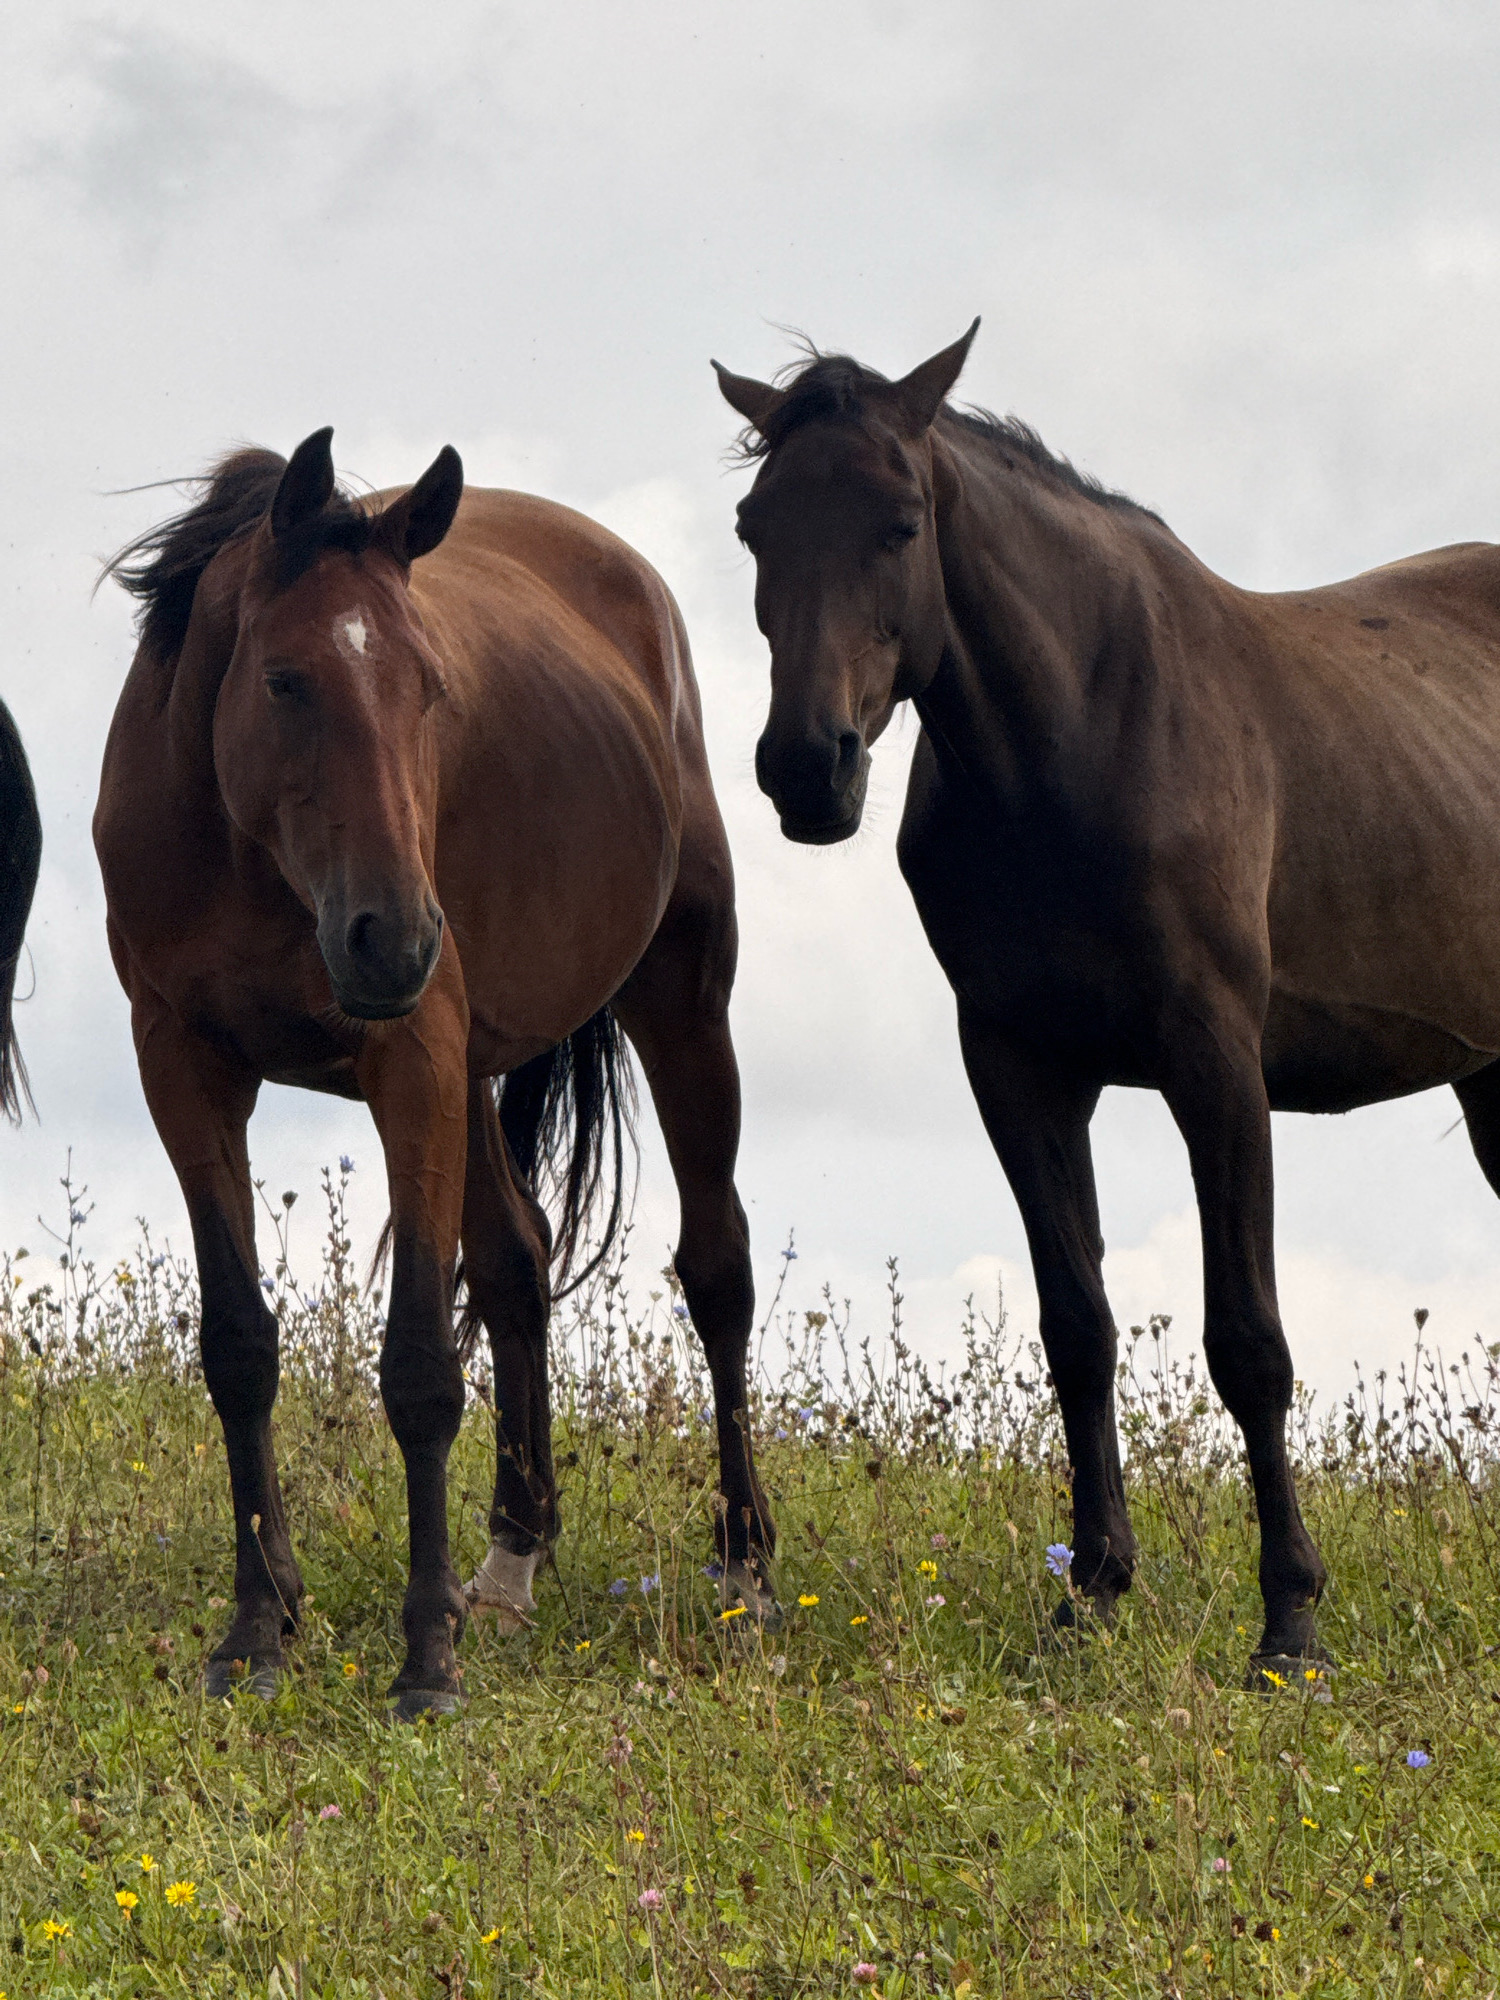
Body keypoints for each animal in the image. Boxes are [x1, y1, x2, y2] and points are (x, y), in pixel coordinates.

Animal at [96, 430, 774, 1716]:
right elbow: (238, 1346)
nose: (396, 939)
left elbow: (417, 1361)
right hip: (479, 1069)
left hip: (682, 1003)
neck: (247, 857)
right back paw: (511, 1555)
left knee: (717, 1270)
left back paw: (747, 1568)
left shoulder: (409, 1061)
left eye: (430, 687)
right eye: (285, 681)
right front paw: (259, 1623)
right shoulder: (182, 1066)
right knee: (518, 1263)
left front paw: (425, 1658)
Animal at [714, 322, 1500, 1681]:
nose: (807, 768)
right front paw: (1089, 1592)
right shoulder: (1019, 1067)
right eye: (758, 525)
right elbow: (1076, 1325)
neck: (1078, 741)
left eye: (901, 522)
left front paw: (1290, 1621)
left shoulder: (1217, 1067)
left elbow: (1248, 1343)